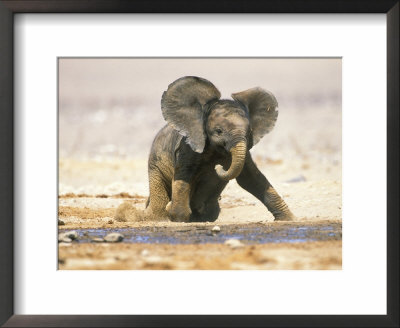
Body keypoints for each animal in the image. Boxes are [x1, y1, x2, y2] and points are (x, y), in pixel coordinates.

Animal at [115, 75, 294, 222]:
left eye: (249, 132)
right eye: (219, 131)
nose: (219, 166)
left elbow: (251, 179)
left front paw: (289, 219)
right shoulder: (187, 147)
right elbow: (184, 175)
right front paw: (178, 218)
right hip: (155, 165)